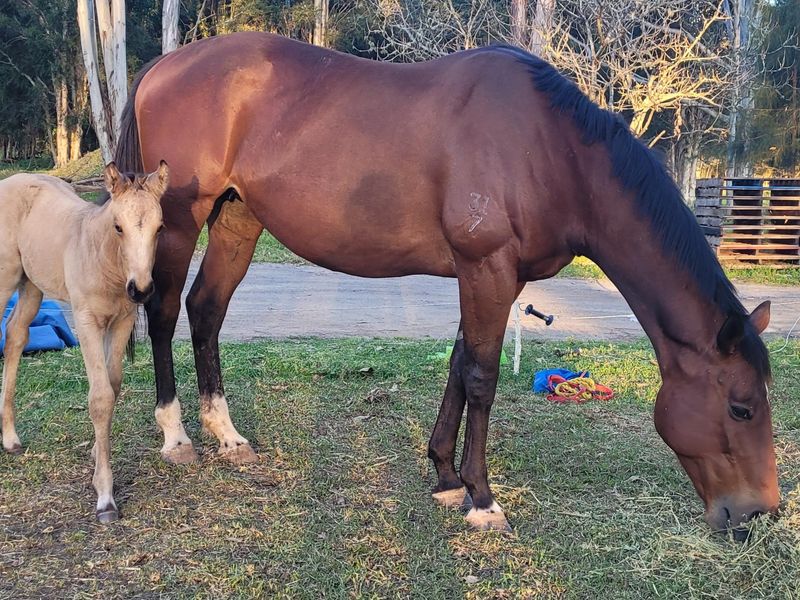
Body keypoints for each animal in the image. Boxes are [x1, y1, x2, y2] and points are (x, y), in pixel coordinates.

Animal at [0, 163, 167, 522]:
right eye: (118, 227)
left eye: (160, 228)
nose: (141, 290)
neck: (104, 259)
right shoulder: (86, 321)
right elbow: (100, 396)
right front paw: (105, 496)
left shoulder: (122, 321)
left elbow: (113, 384)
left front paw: (95, 450)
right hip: (5, 279)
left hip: (32, 284)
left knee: (16, 335)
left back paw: (11, 438)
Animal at [115, 32, 778, 533]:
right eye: (741, 408)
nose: (758, 512)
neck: (549, 149)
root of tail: (161, 68)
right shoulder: (487, 267)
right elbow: (482, 378)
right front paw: (482, 499)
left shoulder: (483, 275)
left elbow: (460, 365)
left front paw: (444, 477)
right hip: (180, 223)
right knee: (165, 312)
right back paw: (176, 436)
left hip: (237, 219)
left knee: (206, 310)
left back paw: (226, 435)